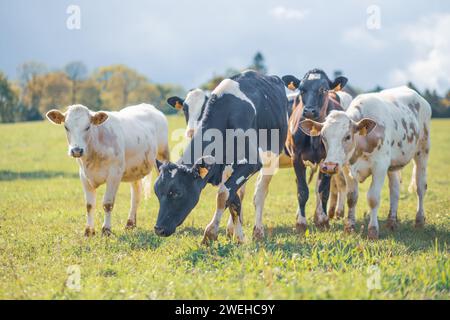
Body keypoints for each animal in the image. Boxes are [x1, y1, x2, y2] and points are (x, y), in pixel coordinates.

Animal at [45, 104, 170, 236]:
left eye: (88, 127)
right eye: (66, 127)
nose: (77, 150)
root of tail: (149, 106)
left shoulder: (114, 174)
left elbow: (107, 203)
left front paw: (106, 230)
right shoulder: (83, 176)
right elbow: (89, 205)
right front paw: (89, 231)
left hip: (162, 156)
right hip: (135, 170)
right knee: (136, 194)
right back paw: (130, 223)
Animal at [155, 71, 288, 244]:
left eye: (177, 192)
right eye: (157, 192)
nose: (158, 229)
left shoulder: (251, 163)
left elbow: (224, 194)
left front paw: (210, 233)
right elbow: (233, 199)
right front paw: (238, 236)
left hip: (271, 158)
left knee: (259, 194)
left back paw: (258, 232)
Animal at [282, 69, 352, 234]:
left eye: (323, 89)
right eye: (301, 89)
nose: (309, 110)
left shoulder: (328, 161)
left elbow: (323, 191)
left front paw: (323, 220)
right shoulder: (296, 158)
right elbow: (302, 191)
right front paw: (301, 223)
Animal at [298, 86, 432, 239]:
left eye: (347, 136)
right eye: (323, 137)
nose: (330, 166)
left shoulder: (380, 167)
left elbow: (373, 198)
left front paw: (373, 230)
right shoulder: (347, 168)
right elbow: (351, 197)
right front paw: (349, 227)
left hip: (423, 151)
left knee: (420, 187)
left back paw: (419, 220)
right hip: (393, 165)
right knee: (395, 189)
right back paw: (391, 222)